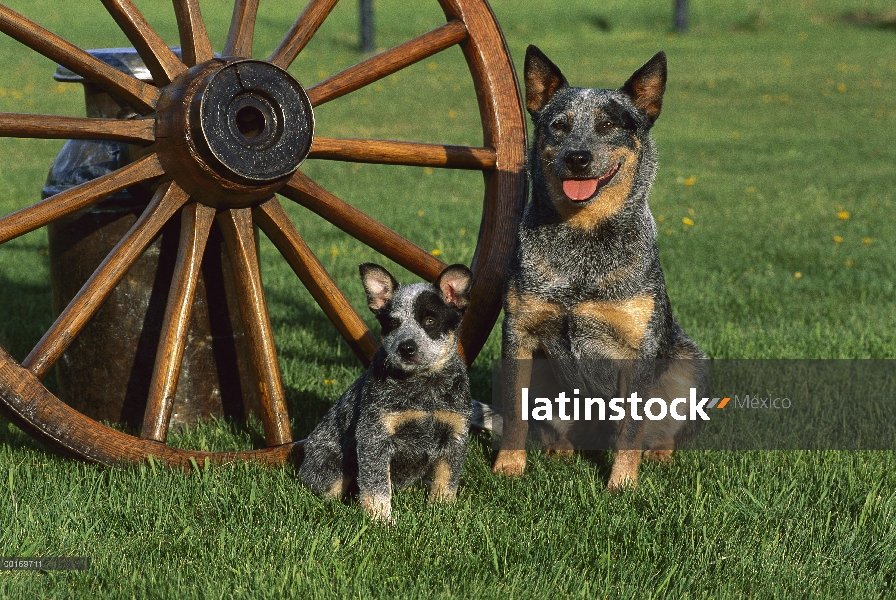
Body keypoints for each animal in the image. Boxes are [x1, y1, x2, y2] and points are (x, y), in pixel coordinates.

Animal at [300, 262, 476, 520]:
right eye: (393, 323)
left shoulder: (455, 433)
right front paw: (380, 519)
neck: (424, 391)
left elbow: (447, 480)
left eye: (430, 321)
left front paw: (442, 510)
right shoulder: (374, 436)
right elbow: (377, 486)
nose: (406, 348)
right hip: (332, 466)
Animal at [490, 45, 708, 488]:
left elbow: (631, 427)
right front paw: (508, 467)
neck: (582, 240)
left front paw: (621, 484)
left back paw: (659, 453)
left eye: (607, 124)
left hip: (690, 366)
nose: (578, 157)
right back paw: (560, 448)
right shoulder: (518, 334)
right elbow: (516, 413)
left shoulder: (637, 349)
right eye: (559, 125)